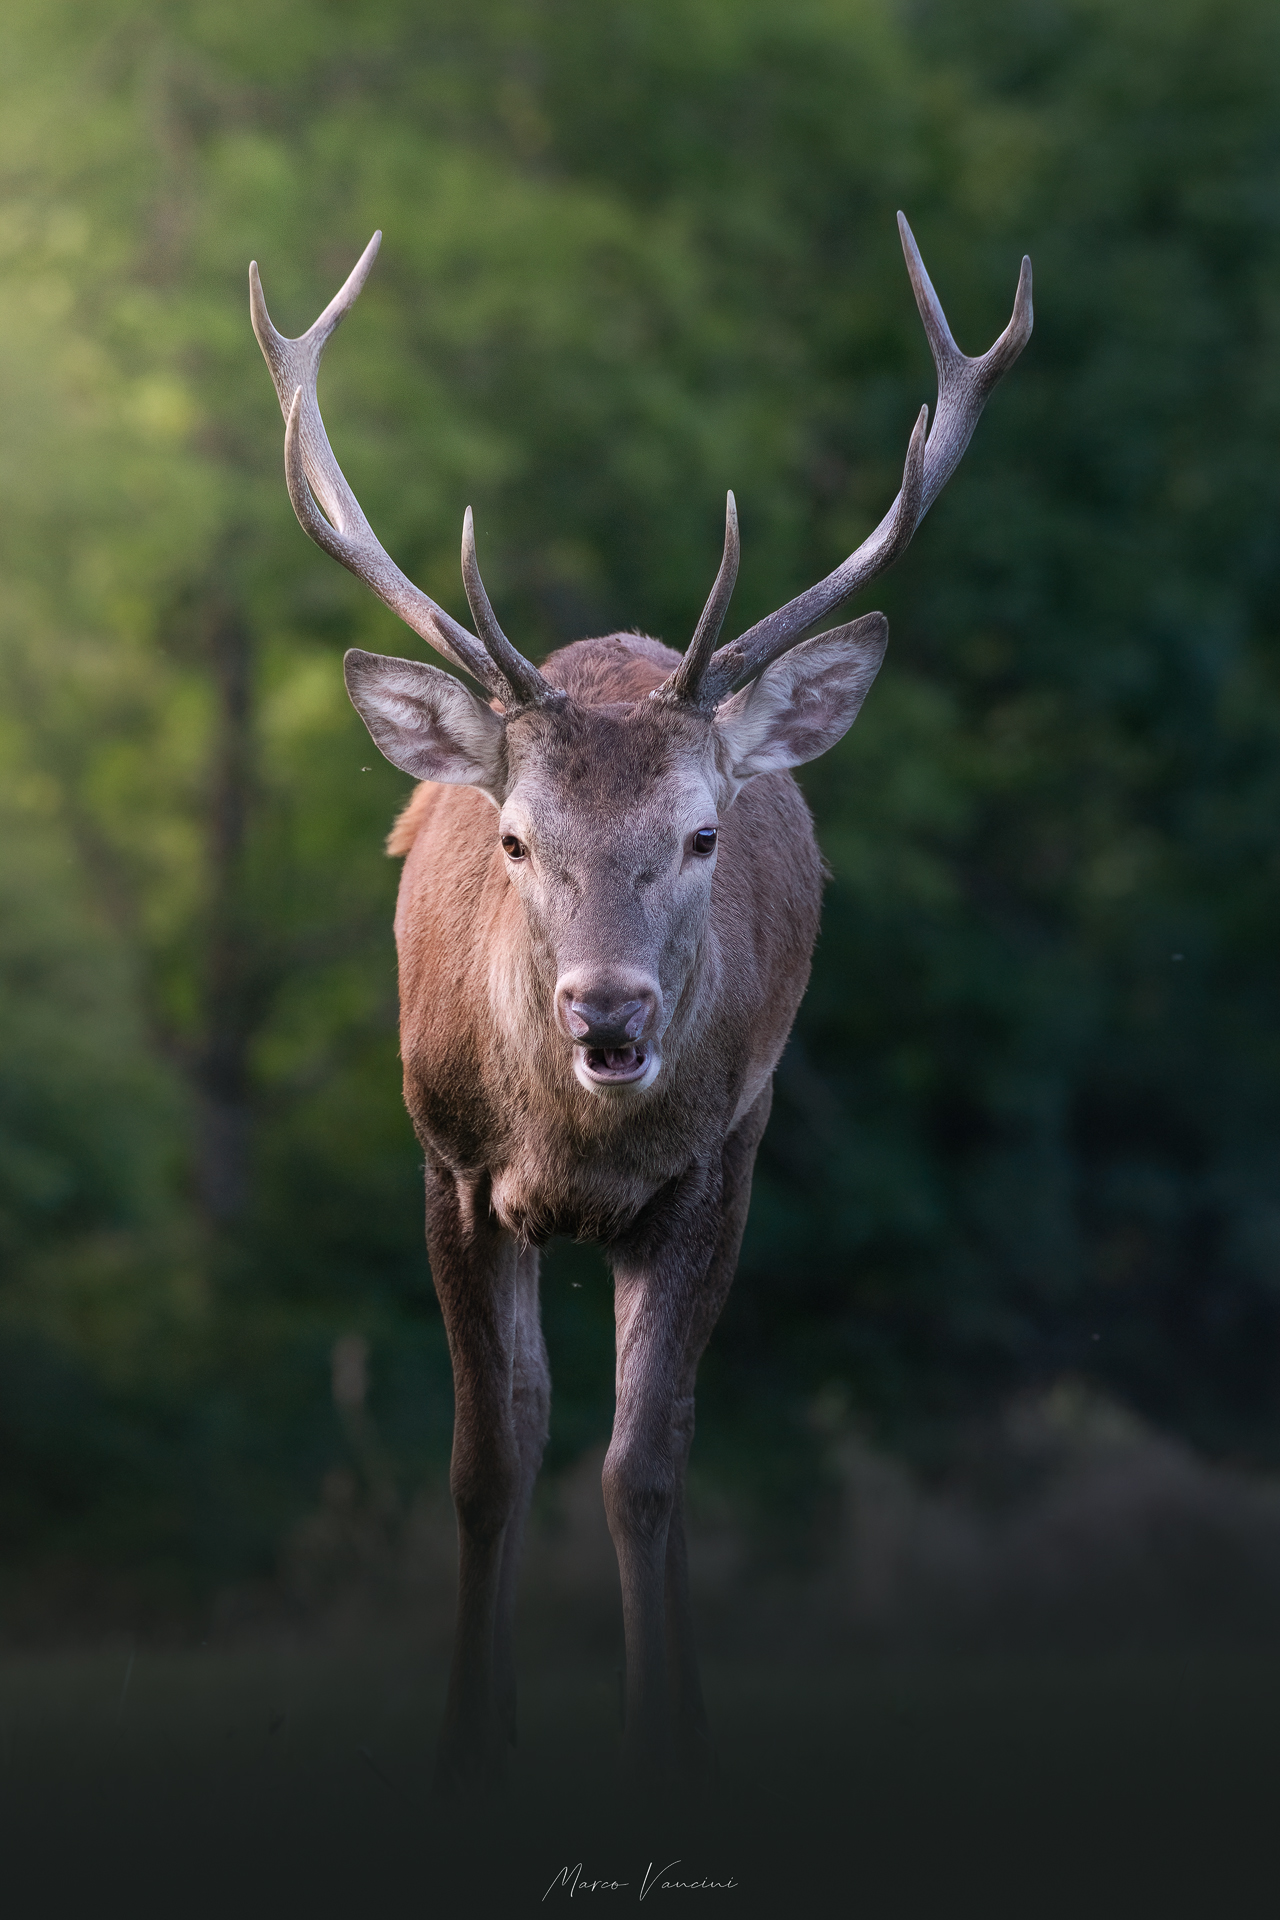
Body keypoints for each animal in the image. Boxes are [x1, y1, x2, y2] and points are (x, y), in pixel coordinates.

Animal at [250, 214, 1031, 1794]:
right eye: (513, 839)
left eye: (701, 835)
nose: (604, 1010)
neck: (572, 1149)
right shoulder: (446, 1159)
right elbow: (489, 1458)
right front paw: (465, 1746)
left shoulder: (717, 1160)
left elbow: (646, 1465)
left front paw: (659, 1737)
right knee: (560, 1417)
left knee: (651, 1430)